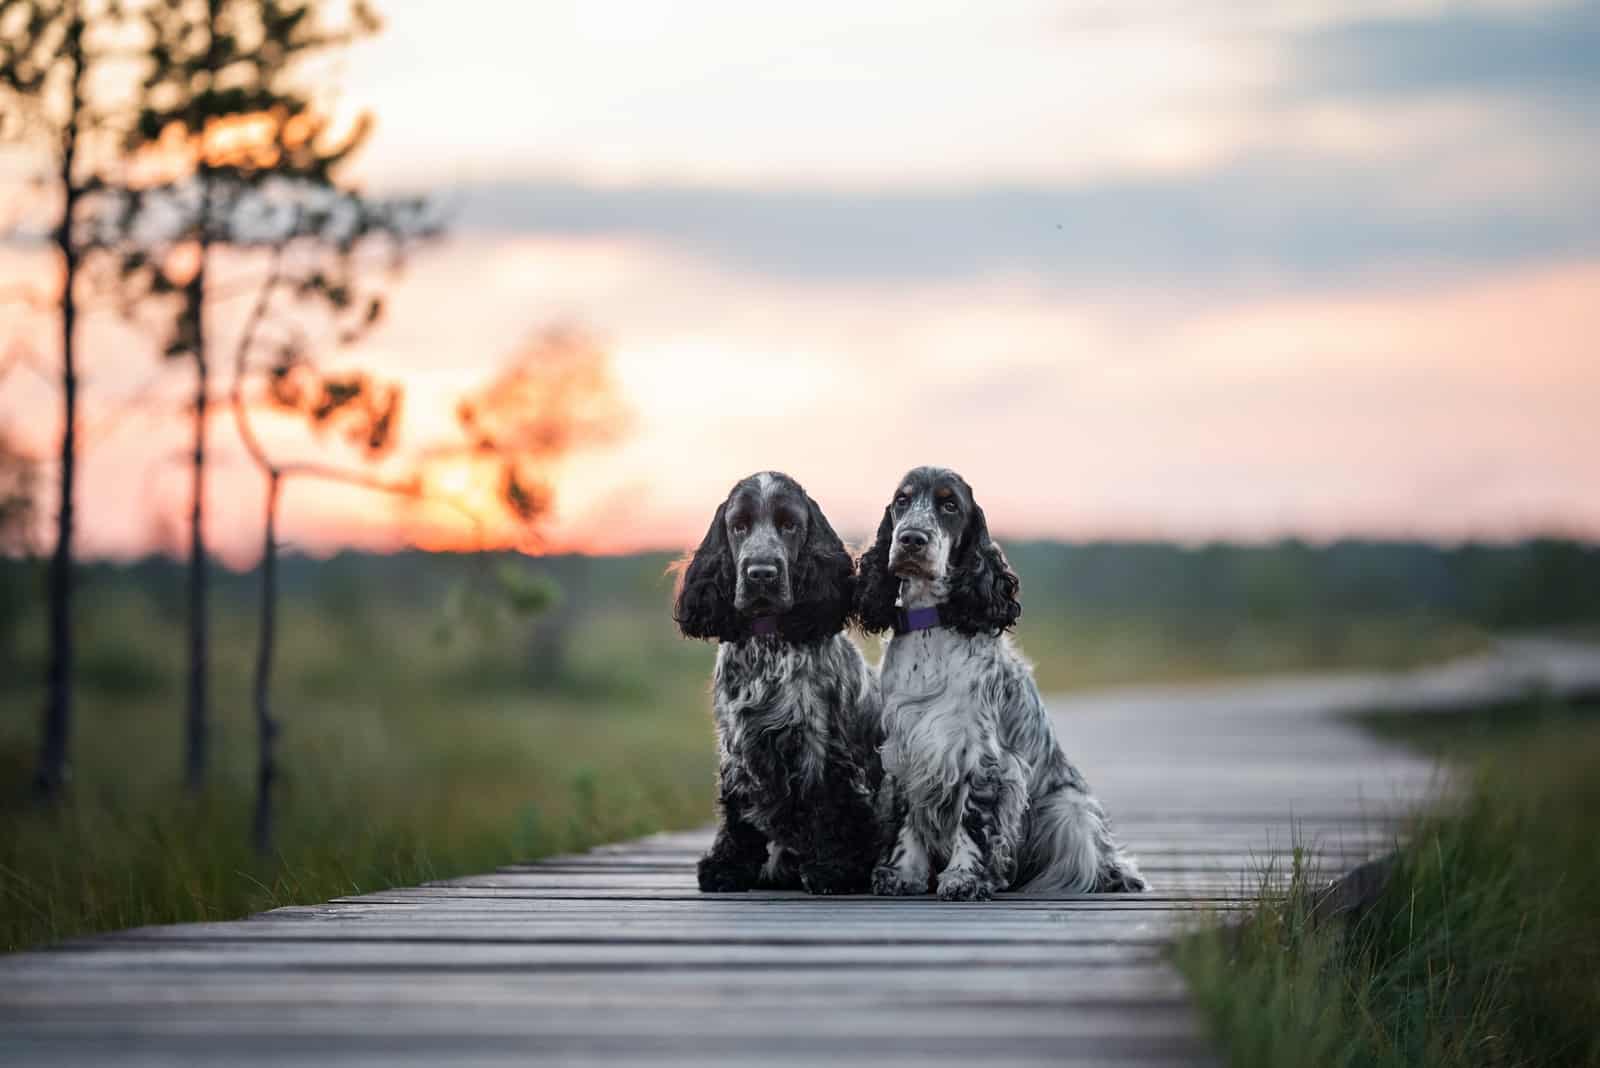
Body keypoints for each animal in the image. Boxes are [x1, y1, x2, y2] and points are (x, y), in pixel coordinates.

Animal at [668, 470, 883, 895]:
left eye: (789, 525)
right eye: (738, 526)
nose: (761, 574)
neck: (767, 643)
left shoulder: (821, 744)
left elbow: (828, 803)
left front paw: (832, 870)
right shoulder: (737, 745)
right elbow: (737, 813)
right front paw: (726, 867)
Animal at [857, 466, 1145, 901]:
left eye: (949, 505)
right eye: (902, 501)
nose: (911, 539)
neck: (932, 626)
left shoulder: (986, 757)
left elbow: (974, 820)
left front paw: (964, 878)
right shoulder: (905, 748)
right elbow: (909, 817)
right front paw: (903, 874)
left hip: (1069, 810)